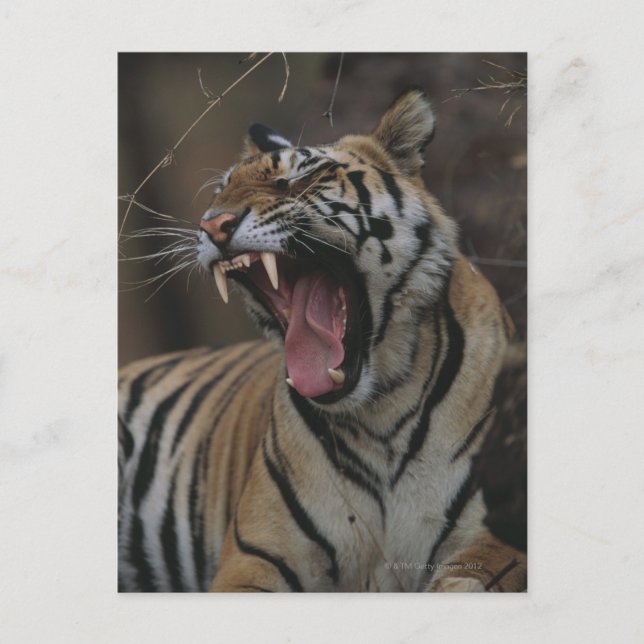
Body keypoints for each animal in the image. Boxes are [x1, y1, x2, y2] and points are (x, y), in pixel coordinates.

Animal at [118, 86, 527, 592]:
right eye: (220, 190)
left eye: (297, 178)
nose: (213, 225)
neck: (380, 415)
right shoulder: (253, 557)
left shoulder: (495, 544)